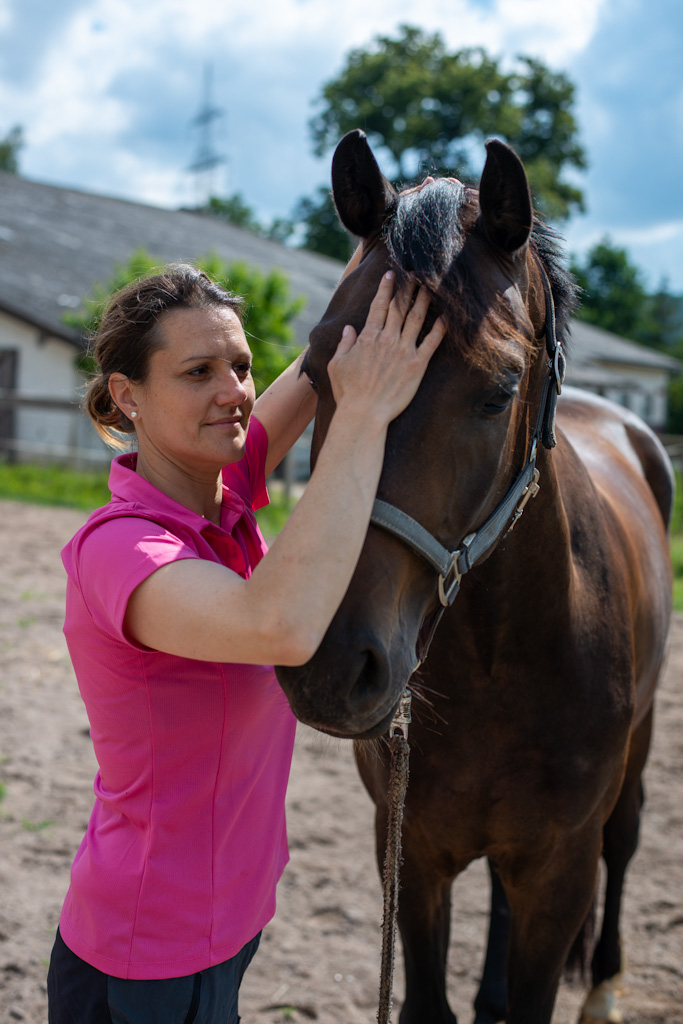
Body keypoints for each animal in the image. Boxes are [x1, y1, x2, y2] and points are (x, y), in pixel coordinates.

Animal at [274, 130, 675, 1024]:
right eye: (315, 371)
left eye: (497, 393)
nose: (329, 666)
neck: (503, 662)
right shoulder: (410, 853)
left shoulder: (560, 871)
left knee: (627, 841)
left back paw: (604, 989)